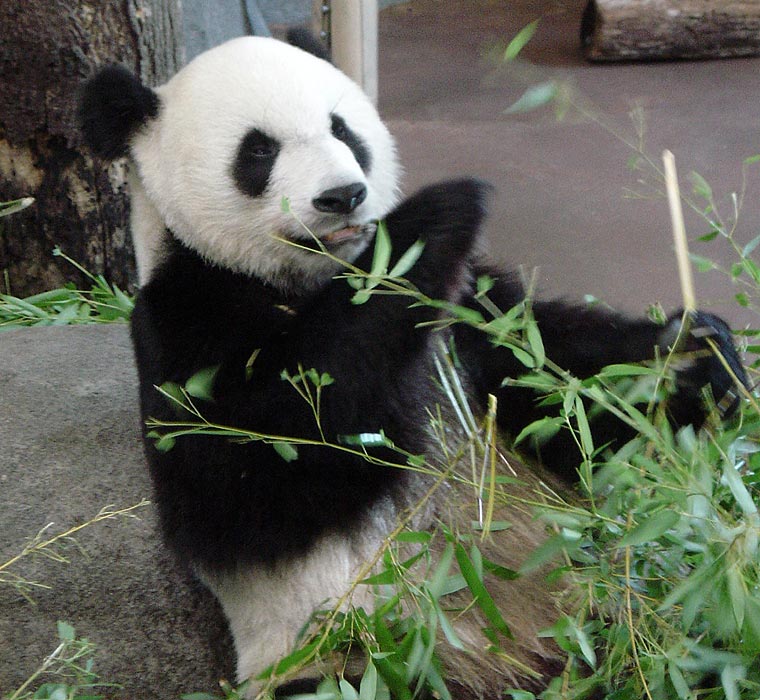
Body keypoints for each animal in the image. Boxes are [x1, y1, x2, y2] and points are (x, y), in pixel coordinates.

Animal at [79, 35, 745, 698]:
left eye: (342, 129)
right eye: (258, 151)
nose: (343, 196)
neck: (308, 277)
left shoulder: (470, 314)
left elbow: (559, 390)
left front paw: (693, 359)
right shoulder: (186, 320)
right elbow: (251, 476)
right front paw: (434, 215)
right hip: (356, 661)